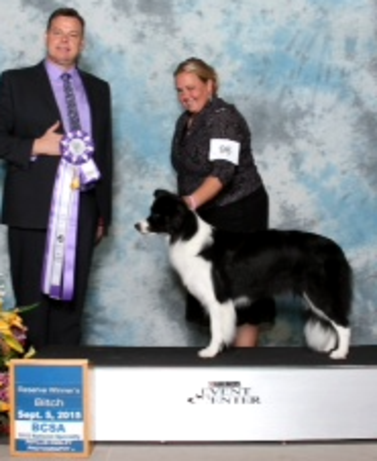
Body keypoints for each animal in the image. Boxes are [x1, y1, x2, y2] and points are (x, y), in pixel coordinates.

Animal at [135, 189, 352, 358]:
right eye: (151, 212)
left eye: (156, 215)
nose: (136, 225)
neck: (185, 233)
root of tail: (334, 248)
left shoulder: (217, 297)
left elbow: (216, 328)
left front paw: (210, 351)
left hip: (320, 292)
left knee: (342, 323)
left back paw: (340, 353)